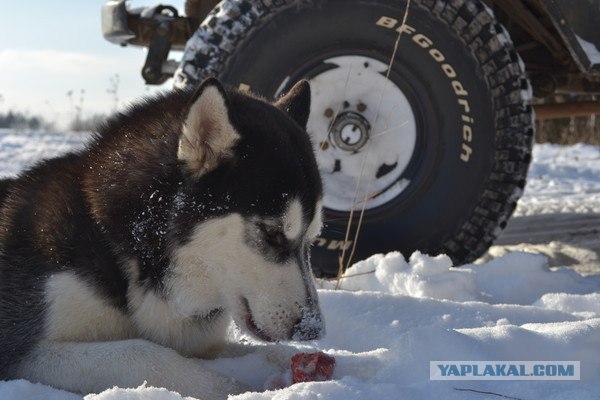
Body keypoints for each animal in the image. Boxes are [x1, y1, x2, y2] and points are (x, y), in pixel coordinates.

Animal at [0, 77, 324, 396]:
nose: (314, 329)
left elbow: (271, 353)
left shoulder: (198, 342)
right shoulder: (20, 349)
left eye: (311, 241)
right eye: (272, 233)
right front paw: (235, 389)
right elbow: (143, 354)